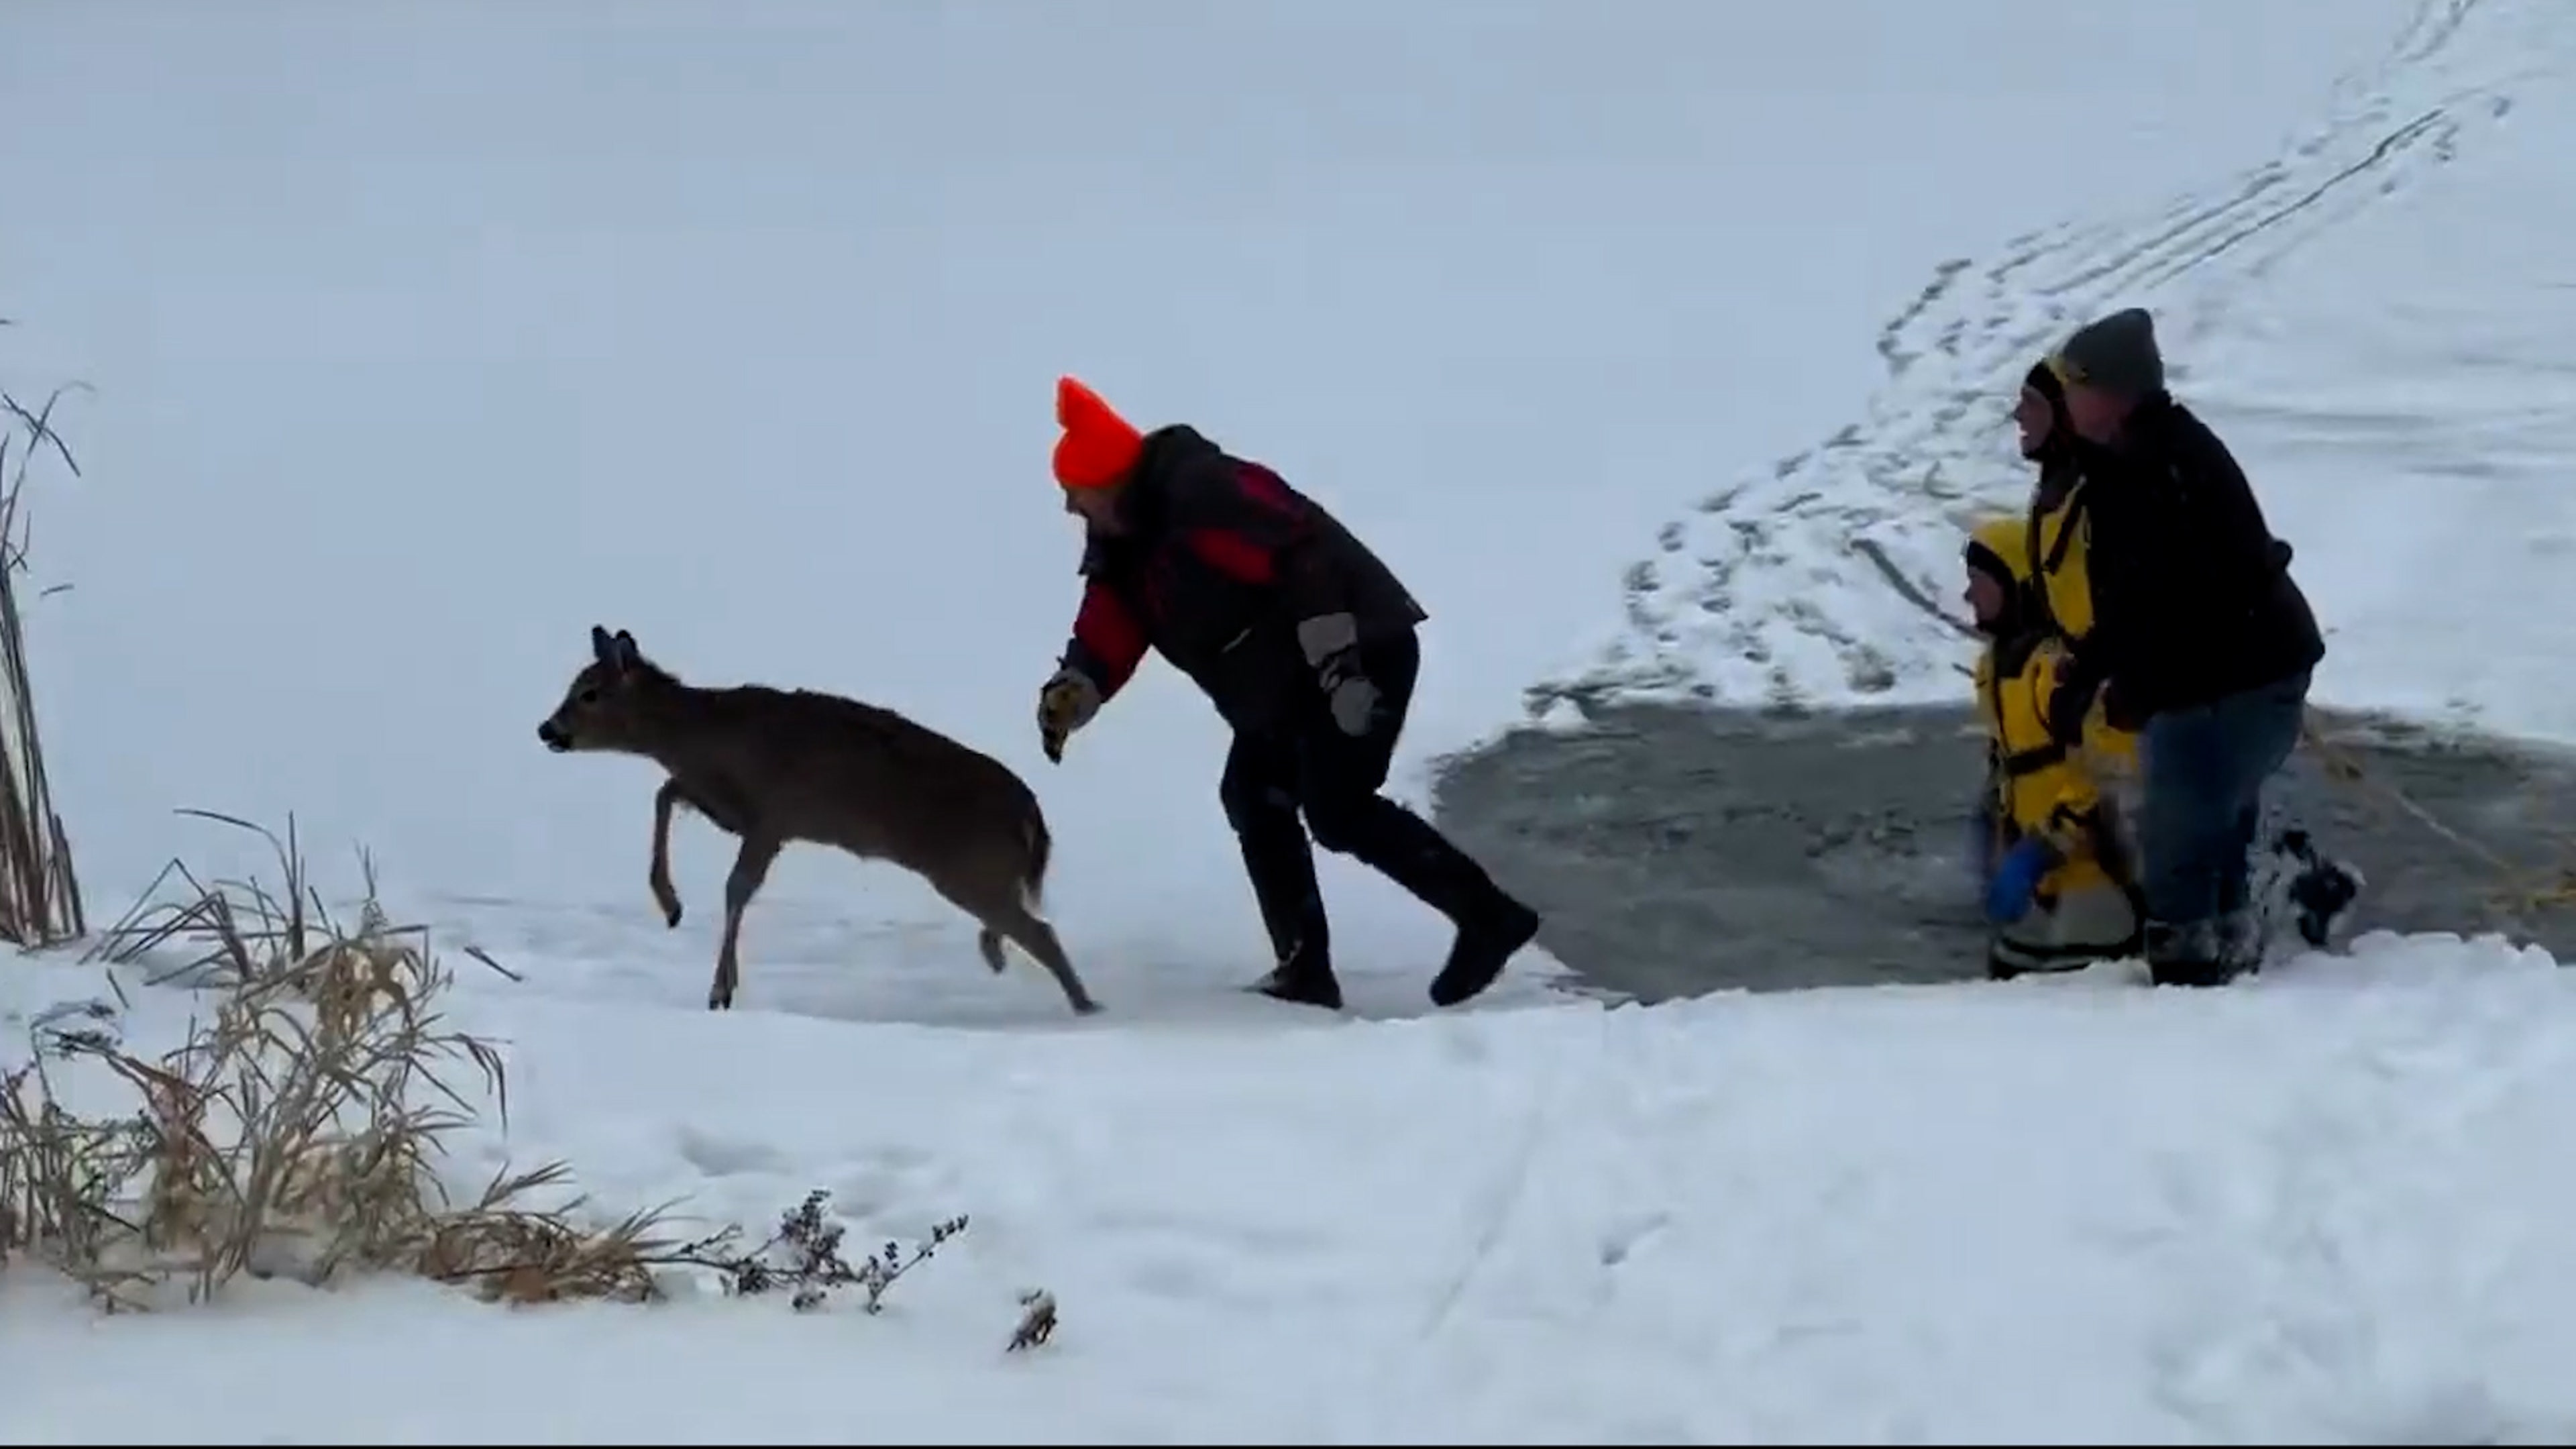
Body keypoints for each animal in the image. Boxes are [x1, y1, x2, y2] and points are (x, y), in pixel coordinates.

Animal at [536, 625, 1100, 1017]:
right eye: (574, 685)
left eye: (589, 693)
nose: (547, 729)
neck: (703, 733)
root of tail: (1032, 817)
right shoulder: (728, 806)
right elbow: (664, 795)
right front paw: (670, 905)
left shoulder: (773, 815)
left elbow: (736, 887)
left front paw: (720, 989)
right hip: (980, 874)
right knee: (1019, 925)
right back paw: (1001, 957)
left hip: (967, 868)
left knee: (1040, 930)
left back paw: (1085, 1006)